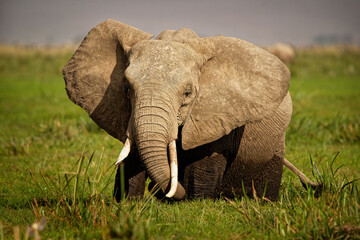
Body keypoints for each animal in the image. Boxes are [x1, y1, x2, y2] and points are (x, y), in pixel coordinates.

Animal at [63, 19, 320, 202]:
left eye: (188, 94)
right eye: (126, 89)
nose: (162, 192)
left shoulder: (218, 114)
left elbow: (202, 167)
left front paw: (192, 200)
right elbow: (132, 157)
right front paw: (128, 202)